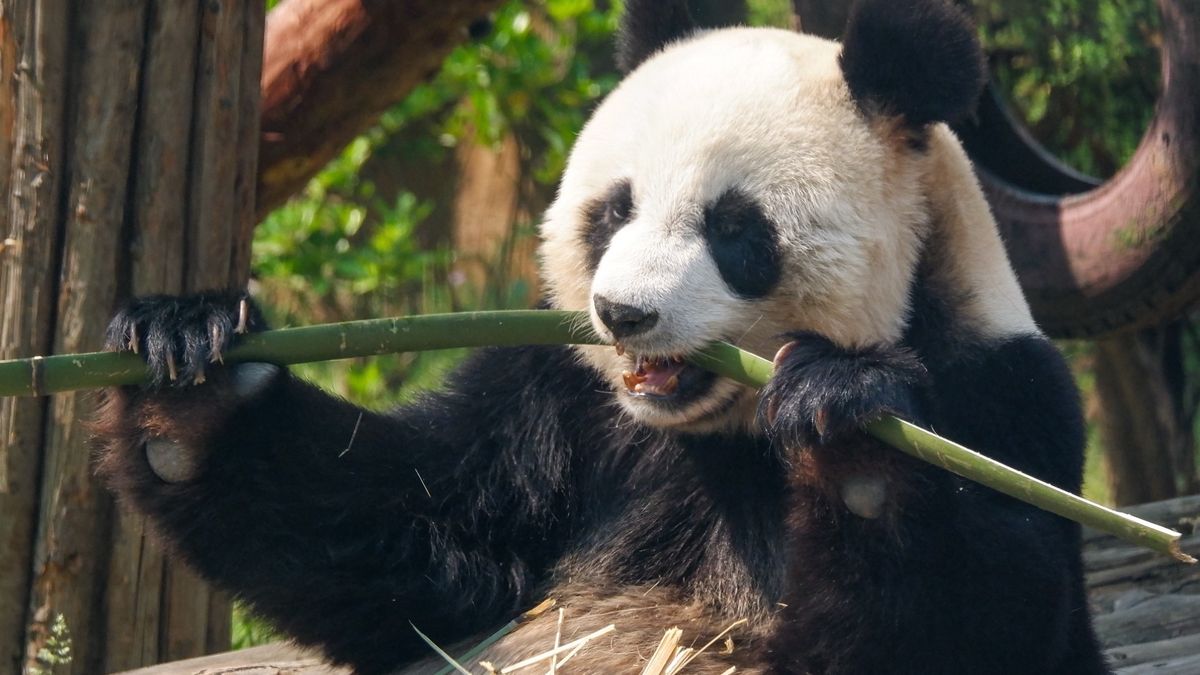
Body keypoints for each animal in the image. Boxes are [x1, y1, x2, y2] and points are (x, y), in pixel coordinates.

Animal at [94, 0, 1110, 673]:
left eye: (736, 230)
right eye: (613, 209)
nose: (623, 314)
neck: (719, 436)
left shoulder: (1006, 398)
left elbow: (979, 619)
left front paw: (852, 429)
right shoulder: (562, 405)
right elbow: (410, 533)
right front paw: (191, 368)